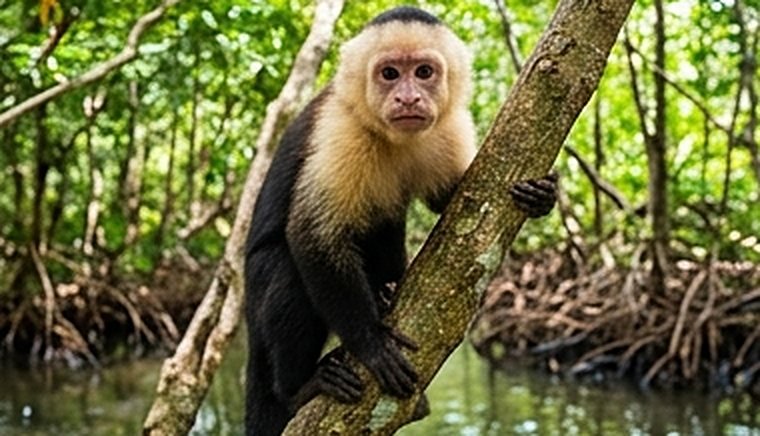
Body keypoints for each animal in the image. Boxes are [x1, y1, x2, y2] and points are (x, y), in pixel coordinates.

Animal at [244, 6, 557, 435]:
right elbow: (314, 236)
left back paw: (385, 291)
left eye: (424, 72)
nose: (408, 97)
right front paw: (372, 344)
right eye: (389, 73)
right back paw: (298, 388)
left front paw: (543, 196)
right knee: (287, 272)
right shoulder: (339, 129)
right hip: (255, 295)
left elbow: (458, 199)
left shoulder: (448, 127)